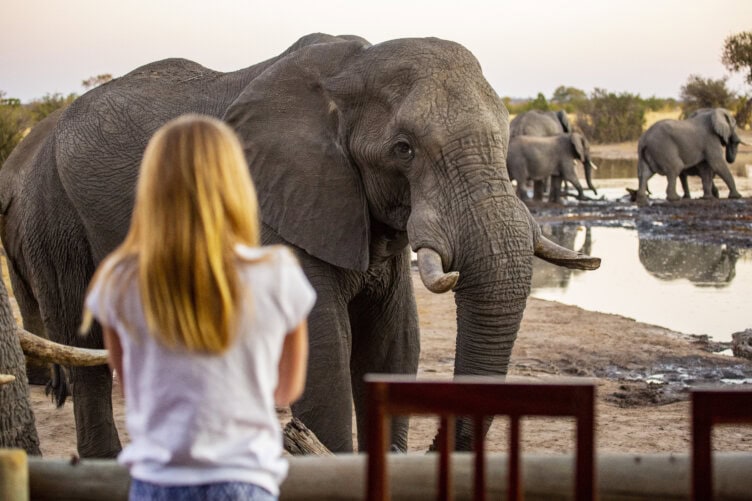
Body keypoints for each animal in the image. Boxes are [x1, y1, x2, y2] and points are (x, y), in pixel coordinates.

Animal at [0, 33, 600, 457]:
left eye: (504, 137)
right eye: (403, 149)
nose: (438, 447)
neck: (349, 71)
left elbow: (391, 343)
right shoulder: (278, 204)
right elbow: (326, 349)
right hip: (54, 213)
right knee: (82, 334)